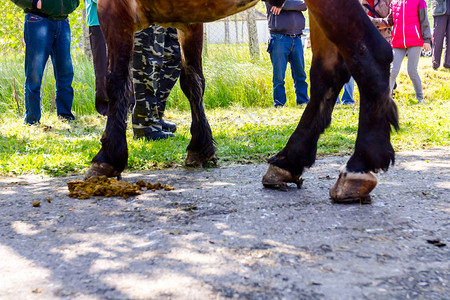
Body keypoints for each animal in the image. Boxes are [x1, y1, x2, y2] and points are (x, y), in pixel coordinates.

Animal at [88, 0, 398, 204]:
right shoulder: (188, 18)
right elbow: (192, 80)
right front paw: (201, 145)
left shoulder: (115, 8)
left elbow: (117, 81)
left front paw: (109, 155)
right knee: (328, 73)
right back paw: (289, 160)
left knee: (369, 54)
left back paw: (359, 165)